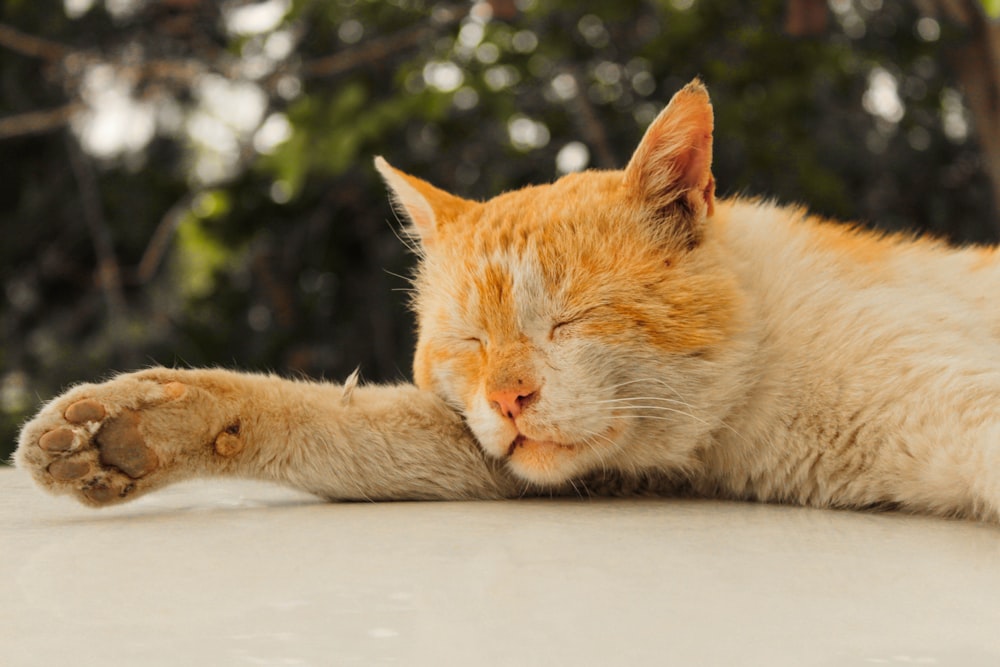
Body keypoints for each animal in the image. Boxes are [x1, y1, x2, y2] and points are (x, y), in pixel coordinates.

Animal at [13, 81, 1000, 520]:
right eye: (469, 344)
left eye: (571, 318)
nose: (510, 397)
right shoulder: (517, 457)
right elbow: (333, 421)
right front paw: (128, 432)